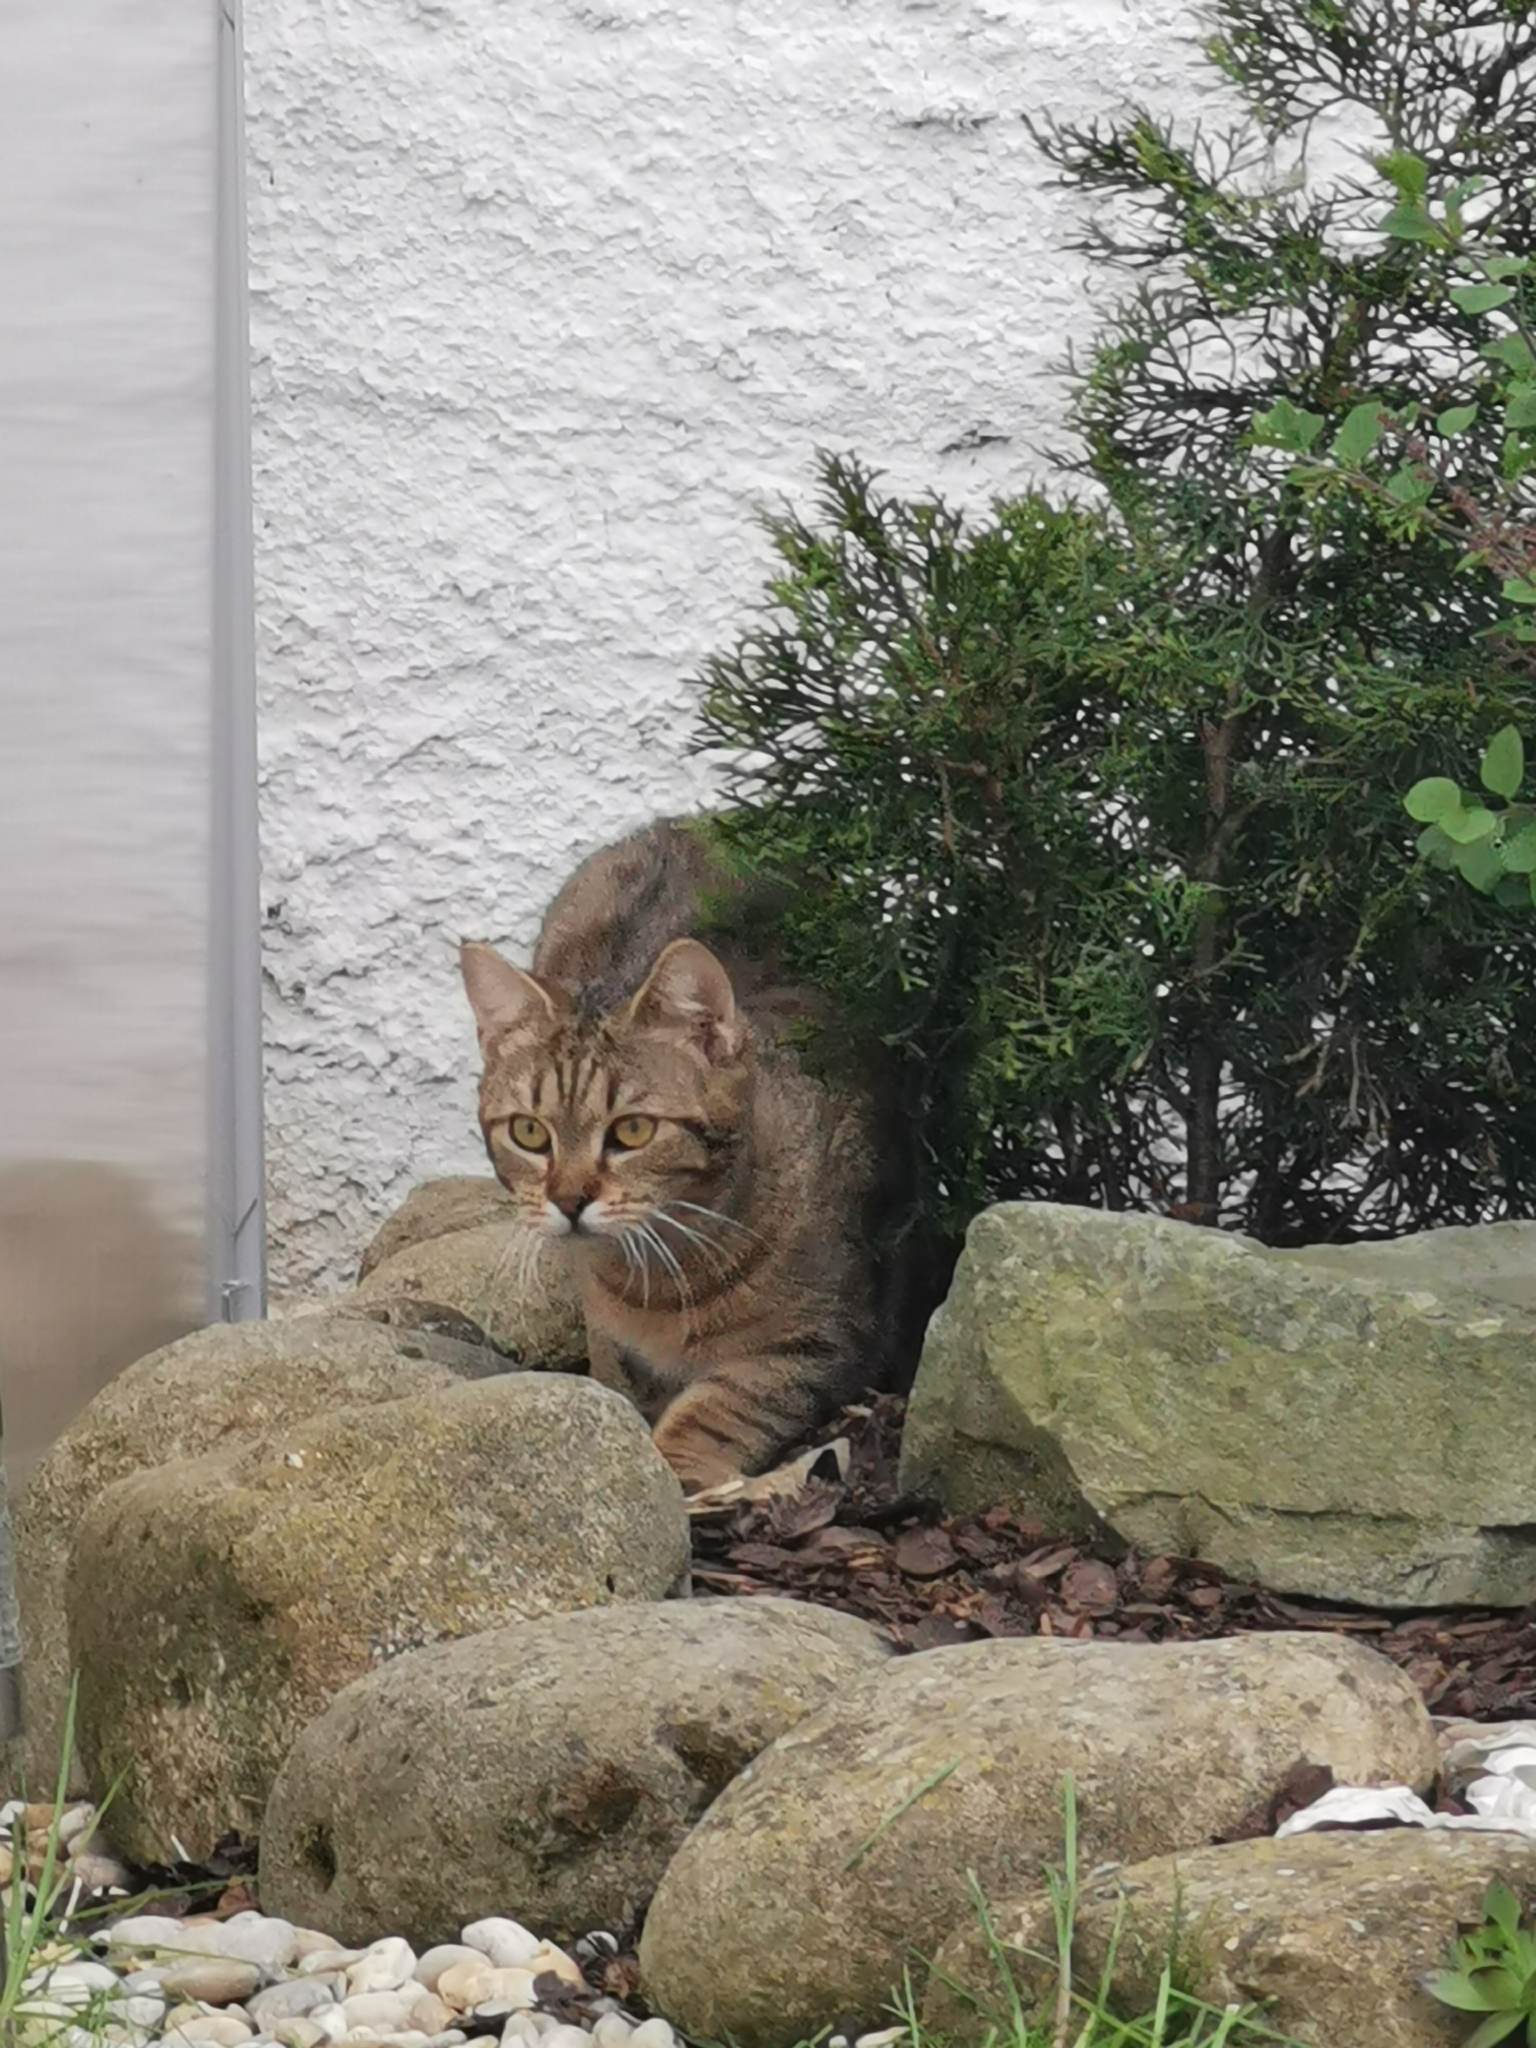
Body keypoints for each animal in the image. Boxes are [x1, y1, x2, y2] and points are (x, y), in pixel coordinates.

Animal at [459, 818, 926, 1493]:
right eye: (529, 1132)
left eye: (632, 1131)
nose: (567, 1200)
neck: (660, 1276)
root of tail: (683, 823)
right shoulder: (612, 1337)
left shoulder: (823, 1339)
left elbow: (723, 1406)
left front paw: (676, 1470)